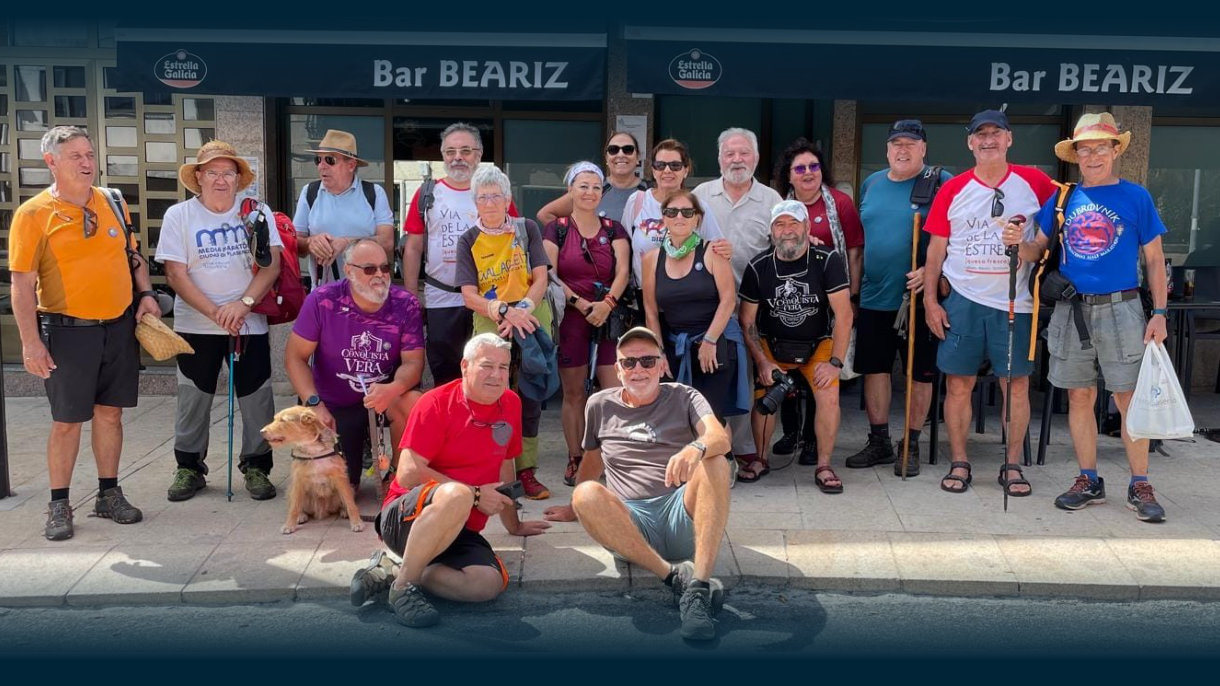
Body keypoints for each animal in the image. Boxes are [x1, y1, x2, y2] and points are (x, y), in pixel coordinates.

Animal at [260, 406, 364, 535]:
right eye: (275, 419)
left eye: (283, 420)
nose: (261, 432)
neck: (313, 450)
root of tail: (321, 511)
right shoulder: (298, 480)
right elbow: (294, 507)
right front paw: (289, 525)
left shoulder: (339, 477)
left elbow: (350, 503)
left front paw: (356, 522)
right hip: (291, 490)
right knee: (296, 504)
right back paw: (301, 515)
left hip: (350, 487)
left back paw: (343, 511)